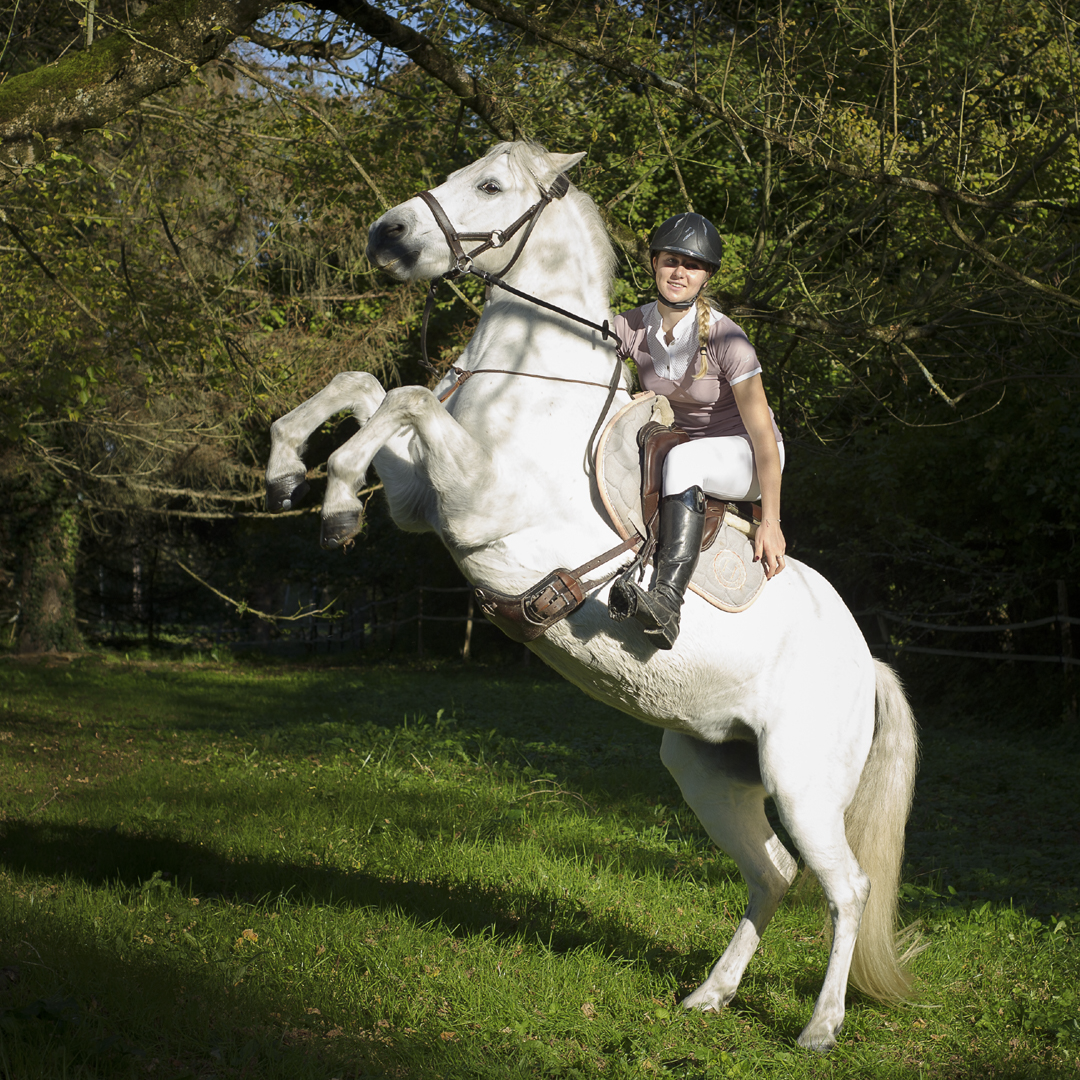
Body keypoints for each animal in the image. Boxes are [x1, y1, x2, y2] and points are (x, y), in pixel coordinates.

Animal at [267, 139, 920, 1049]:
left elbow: (405, 399)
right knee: (774, 876)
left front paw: (330, 501)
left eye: (490, 185)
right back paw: (710, 995)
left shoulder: (473, 505)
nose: (386, 235)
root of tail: (868, 664)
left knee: (845, 888)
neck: (530, 378)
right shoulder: (420, 500)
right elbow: (370, 389)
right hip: (710, 769)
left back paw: (820, 1029)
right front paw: (290, 466)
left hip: (802, 781)